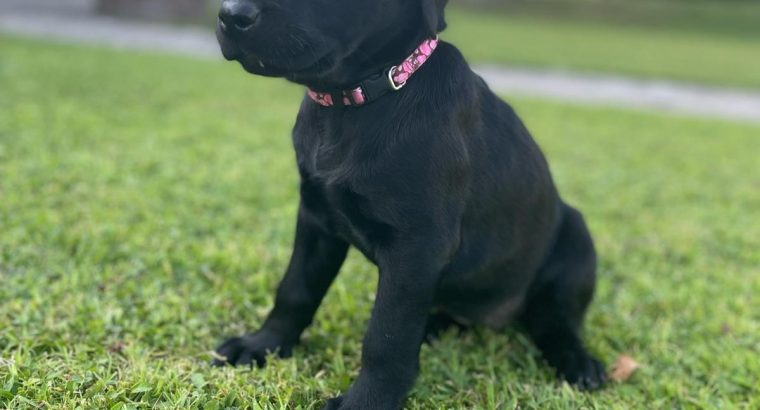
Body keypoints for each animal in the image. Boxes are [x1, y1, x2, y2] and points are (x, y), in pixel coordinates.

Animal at [212, 0, 604, 406]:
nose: (230, 15)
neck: (359, 101)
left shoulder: (416, 247)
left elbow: (387, 336)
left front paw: (365, 402)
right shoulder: (317, 220)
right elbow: (295, 290)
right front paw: (263, 345)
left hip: (576, 243)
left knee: (555, 323)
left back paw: (577, 361)